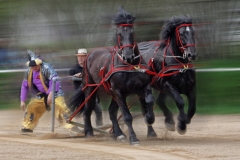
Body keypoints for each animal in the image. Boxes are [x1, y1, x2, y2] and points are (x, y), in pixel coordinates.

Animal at [69, 7, 156, 145]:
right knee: (88, 110)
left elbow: (149, 102)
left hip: (112, 92)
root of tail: (90, 55)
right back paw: (89, 133)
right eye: (119, 34)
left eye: (132, 32)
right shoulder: (118, 91)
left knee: (111, 111)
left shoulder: (143, 87)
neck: (129, 65)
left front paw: (150, 120)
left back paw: (119, 134)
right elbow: (127, 116)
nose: (128, 55)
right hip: (90, 89)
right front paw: (133, 138)